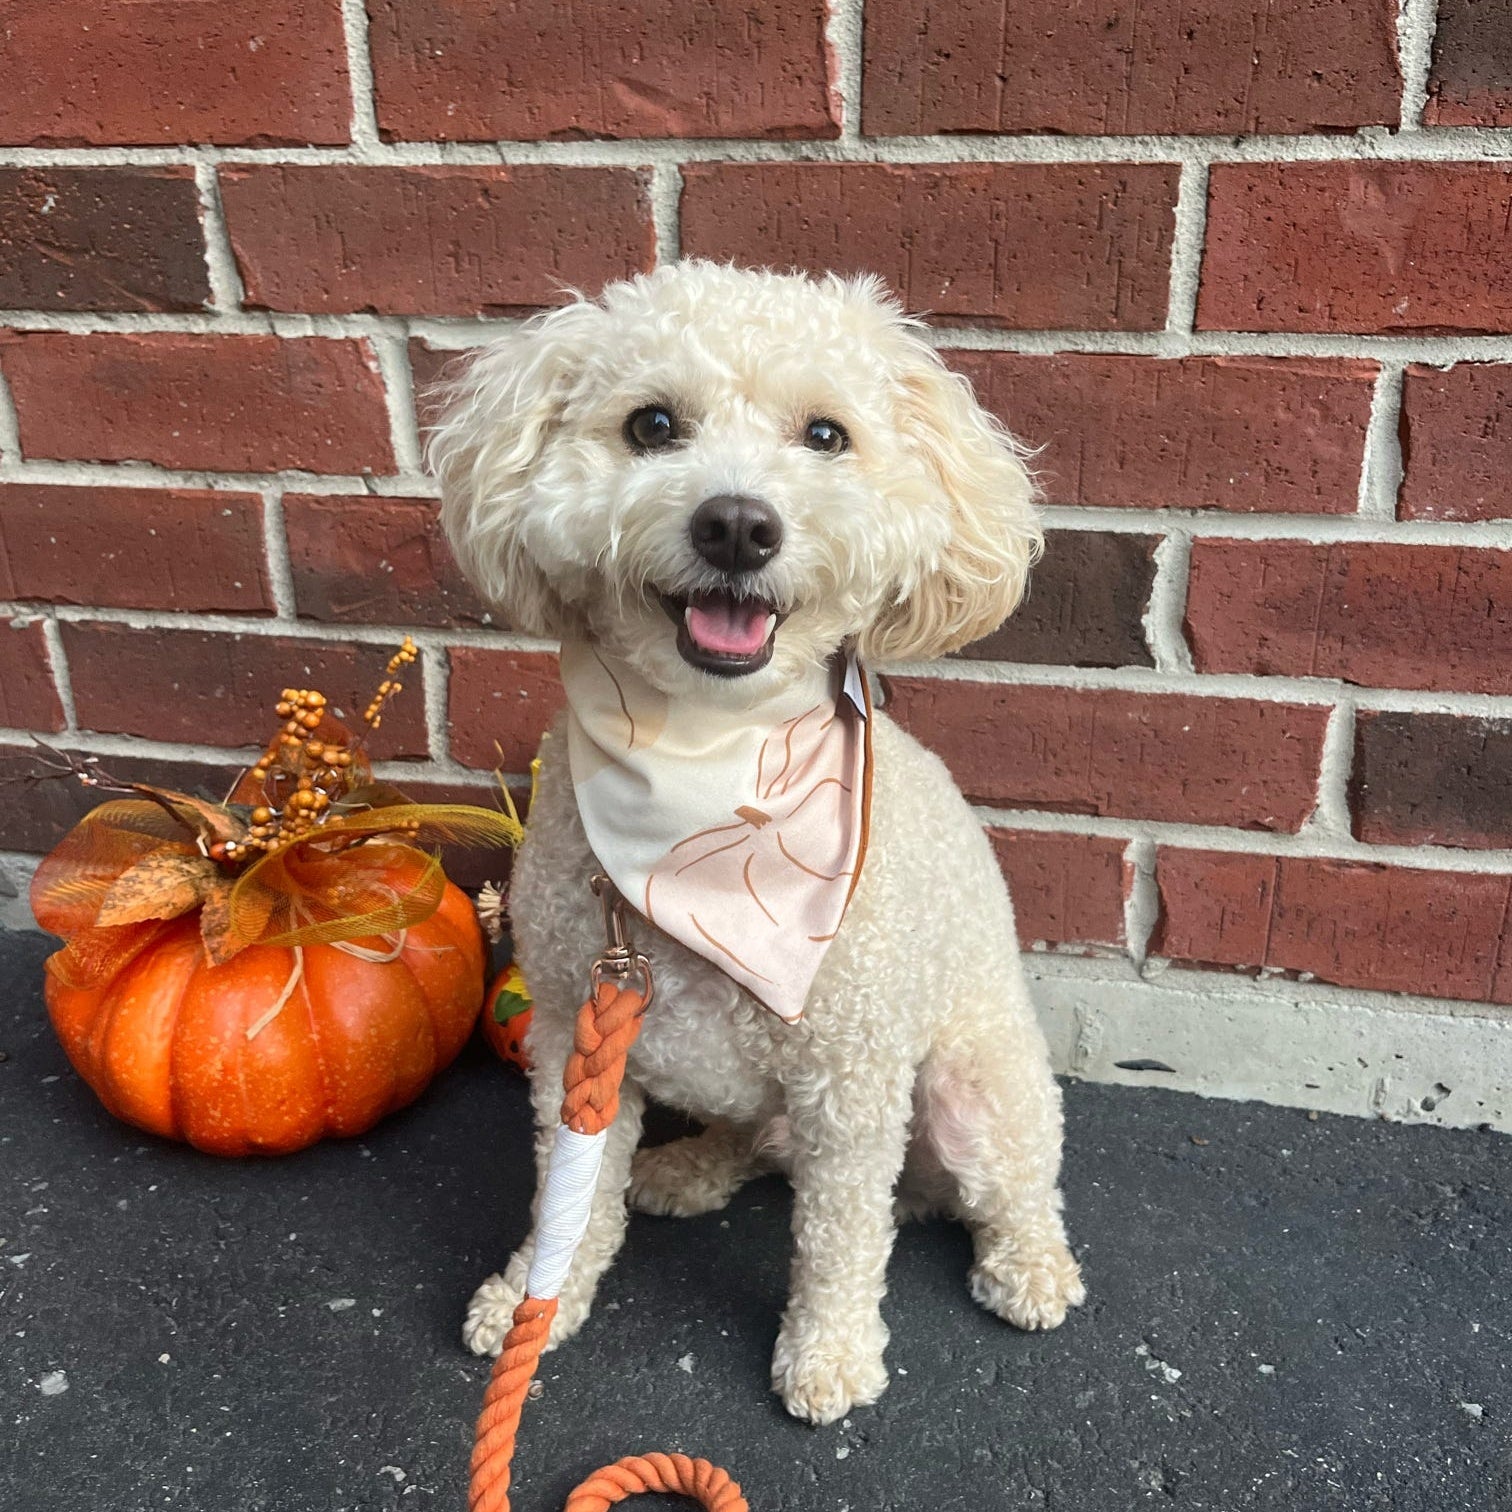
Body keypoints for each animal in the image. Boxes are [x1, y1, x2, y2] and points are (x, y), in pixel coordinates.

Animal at [432, 263, 1082, 1427]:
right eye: (652, 425)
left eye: (826, 434)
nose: (738, 525)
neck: (706, 757)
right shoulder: (567, 1037)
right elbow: (570, 1192)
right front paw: (534, 1301)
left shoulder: (854, 1081)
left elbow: (838, 1238)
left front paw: (828, 1354)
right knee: (751, 1143)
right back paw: (687, 1172)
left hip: (977, 1087)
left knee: (1010, 1189)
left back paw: (1032, 1269)